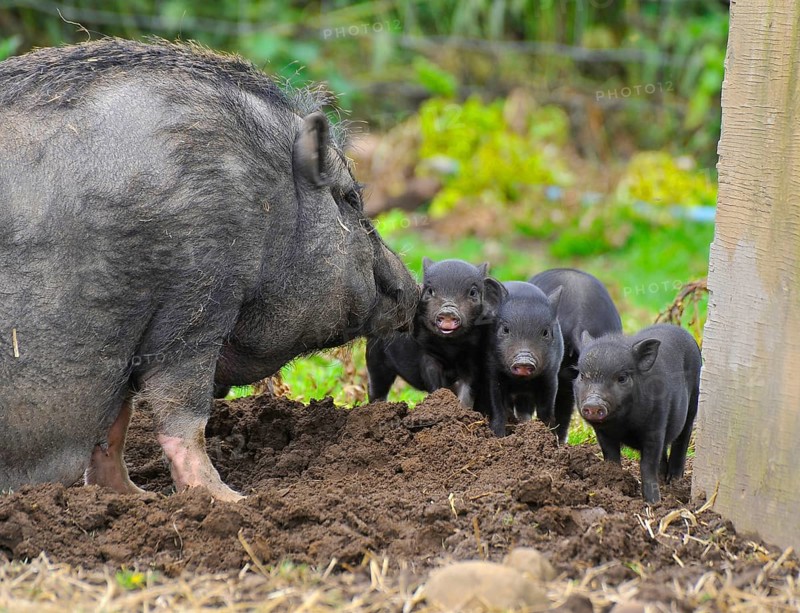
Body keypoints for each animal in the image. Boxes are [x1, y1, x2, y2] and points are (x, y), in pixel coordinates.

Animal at [0, 39, 418, 501]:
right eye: (350, 199)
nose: (414, 290)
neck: (269, 203)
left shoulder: (129, 339)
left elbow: (115, 425)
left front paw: (137, 499)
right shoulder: (197, 302)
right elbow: (184, 418)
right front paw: (231, 501)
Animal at [366, 258, 506, 406]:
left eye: (473, 292)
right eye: (430, 291)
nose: (448, 310)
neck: (451, 348)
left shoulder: (472, 357)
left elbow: (468, 386)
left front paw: (462, 407)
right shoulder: (427, 356)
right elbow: (435, 383)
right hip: (375, 356)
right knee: (376, 385)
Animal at [476, 281, 564, 436]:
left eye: (545, 332)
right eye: (505, 329)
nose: (524, 359)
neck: (520, 381)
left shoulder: (551, 374)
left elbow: (546, 410)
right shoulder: (491, 371)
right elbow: (498, 408)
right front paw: (498, 437)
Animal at [574, 324, 701, 503]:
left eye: (622, 378)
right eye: (582, 376)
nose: (593, 404)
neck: (623, 425)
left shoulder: (655, 426)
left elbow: (647, 464)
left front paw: (653, 502)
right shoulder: (603, 433)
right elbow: (611, 458)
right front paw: (612, 485)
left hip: (693, 404)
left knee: (682, 440)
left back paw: (674, 480)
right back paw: (663, 477)